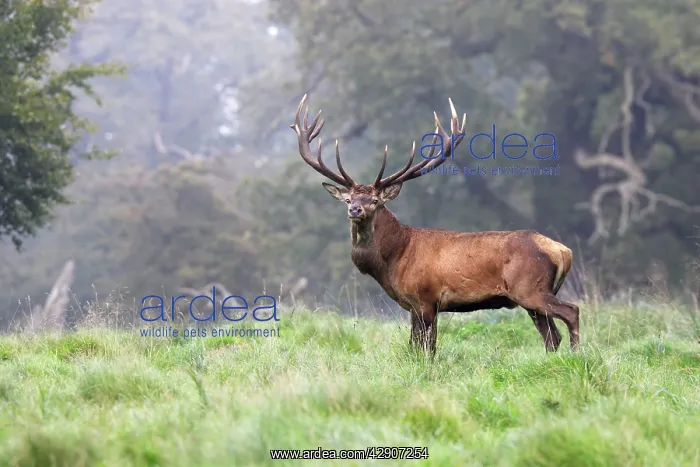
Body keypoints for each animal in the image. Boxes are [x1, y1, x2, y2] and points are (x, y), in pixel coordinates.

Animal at [290, 95, 580, 354]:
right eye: (348, 198)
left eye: (375, 200)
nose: (355, 209)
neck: (393, 259)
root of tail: (563, 251)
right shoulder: (414, 306)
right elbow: (414, 346)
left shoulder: (426, 299)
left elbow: (427, 348)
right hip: (531, 298)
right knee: (551, 336)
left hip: (530, 288)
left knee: (571, 312)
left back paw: (578, 354)